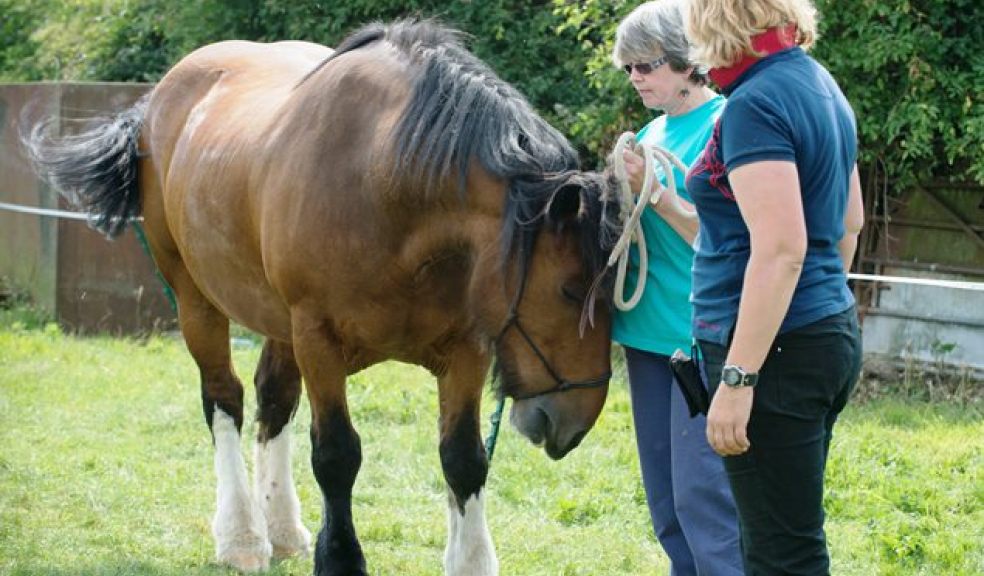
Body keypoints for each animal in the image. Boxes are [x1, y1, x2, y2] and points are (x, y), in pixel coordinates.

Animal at [27, 19, 622, 576]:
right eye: (569, 291)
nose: (574, 423)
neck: (387, 187)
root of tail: (156, 102)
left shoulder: (466, 349)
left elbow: (463, 458)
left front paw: (470, 559)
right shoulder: (318, 339)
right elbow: (336, 454)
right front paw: (338, 557)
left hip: (276, 323)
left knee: (273, 400)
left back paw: (282, 527)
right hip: (198, 301)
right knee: (224, 400)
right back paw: (243, 534)